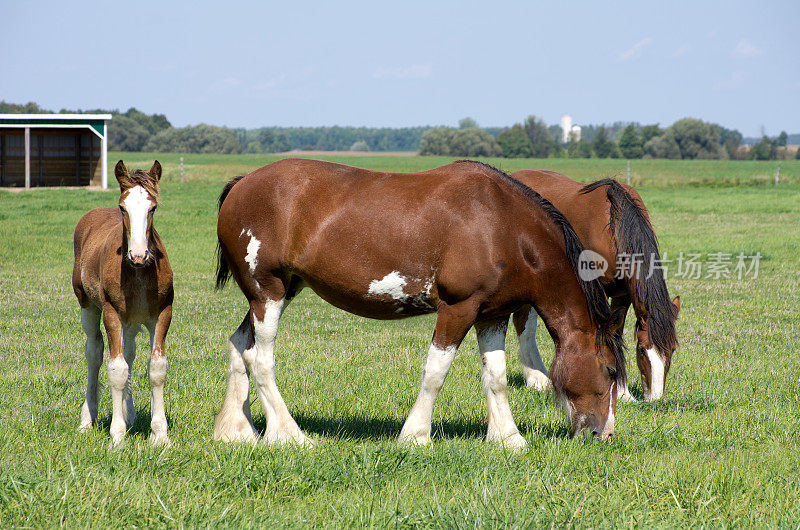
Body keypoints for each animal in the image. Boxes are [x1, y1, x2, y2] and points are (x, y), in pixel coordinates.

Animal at [212, 158, 624, 446]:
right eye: (610, 371)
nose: (603, 434)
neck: (501, 226)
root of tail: (240, 185)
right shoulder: (458, 308)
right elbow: (435, 372)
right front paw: (415, 436)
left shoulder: (492, 314)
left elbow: (497, 377)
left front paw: (508, 439)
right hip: (268, 292)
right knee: (260, 360)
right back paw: (290, 436)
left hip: (275, 293)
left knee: (238, 345)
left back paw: (237, 431)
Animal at [510, 170, 680, 400]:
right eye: (642, 350)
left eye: (671, 350)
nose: (654, 398)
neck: (614, 227)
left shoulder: (623, 295)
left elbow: (616, 333)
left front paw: (624, 393)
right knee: (523, 324)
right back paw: (537, 380)